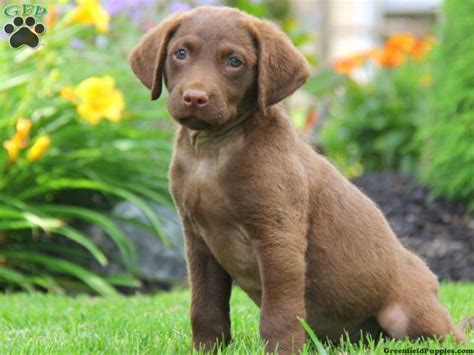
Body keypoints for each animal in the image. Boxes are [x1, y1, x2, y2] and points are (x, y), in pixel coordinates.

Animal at [129, 6, 466, 355]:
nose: (195, 97)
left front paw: (282, 349)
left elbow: (279, 312)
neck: (212, 151)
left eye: (234, 61)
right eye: (180, 53)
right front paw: (207, 349)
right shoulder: (198, 241)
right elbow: (205, 307)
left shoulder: (278, 238)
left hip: (409, 316)